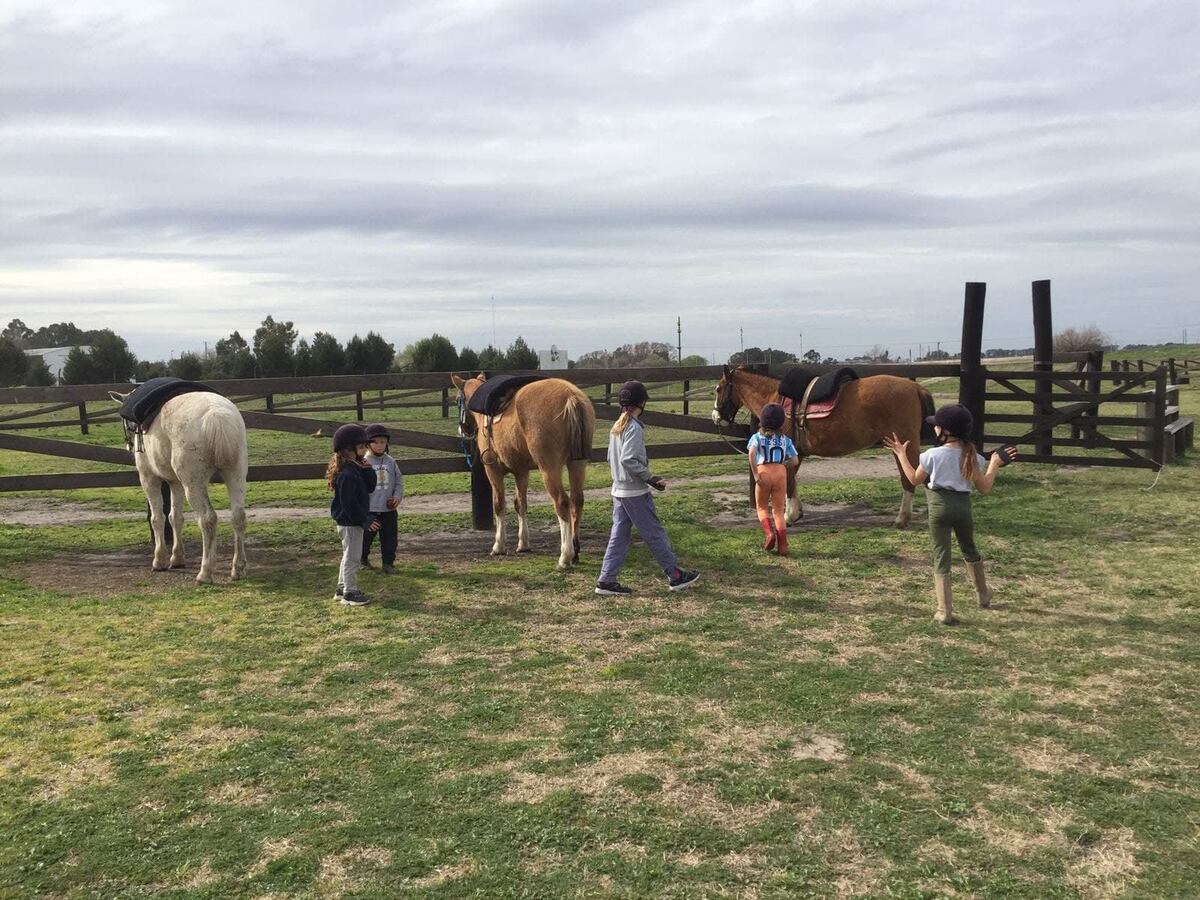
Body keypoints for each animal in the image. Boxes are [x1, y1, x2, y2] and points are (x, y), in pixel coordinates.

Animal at [109, 389, 249, 583]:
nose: (128, 445)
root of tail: (217, 415)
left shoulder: (149, 479)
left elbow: (157, 518)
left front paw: (159, 560)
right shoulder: (175, 483)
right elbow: (175, 517)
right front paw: (177, 558)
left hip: (193, 484)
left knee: (208, 519)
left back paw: (205, 572)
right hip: (235, 475)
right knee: (238, 517)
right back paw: (238, 568)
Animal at [451, 374, 595, 569]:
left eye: (457, 400)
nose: (462, 429)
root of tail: (570, 396)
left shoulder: (493, 470)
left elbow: (499, 505)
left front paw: (499, 546)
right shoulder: (521, 472)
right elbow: (521, 504)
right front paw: (523, 544)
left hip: (549, 469)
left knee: (562, 502)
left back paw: (565, 556)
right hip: (577, 464)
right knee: (577, 501)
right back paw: (575, 551)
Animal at [712, 365, 934, 528]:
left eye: (718, 389)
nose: (716, 417)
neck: (775, 401)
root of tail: (916, 388)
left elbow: (788, 483)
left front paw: (789, 516)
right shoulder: (797, 454)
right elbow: (792, 482)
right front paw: (796, 512)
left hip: (904, 446)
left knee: (910, 478)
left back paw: (902, 518)